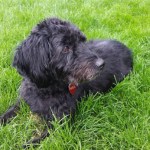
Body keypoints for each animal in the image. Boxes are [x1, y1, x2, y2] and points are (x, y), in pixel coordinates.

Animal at [0, 17, 132, 148]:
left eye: (82, 41)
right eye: (65, 48)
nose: (101, 64)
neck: (45, 89)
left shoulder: (61, 122)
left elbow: (34, 142)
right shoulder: (23, 101)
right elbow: (9, 112)